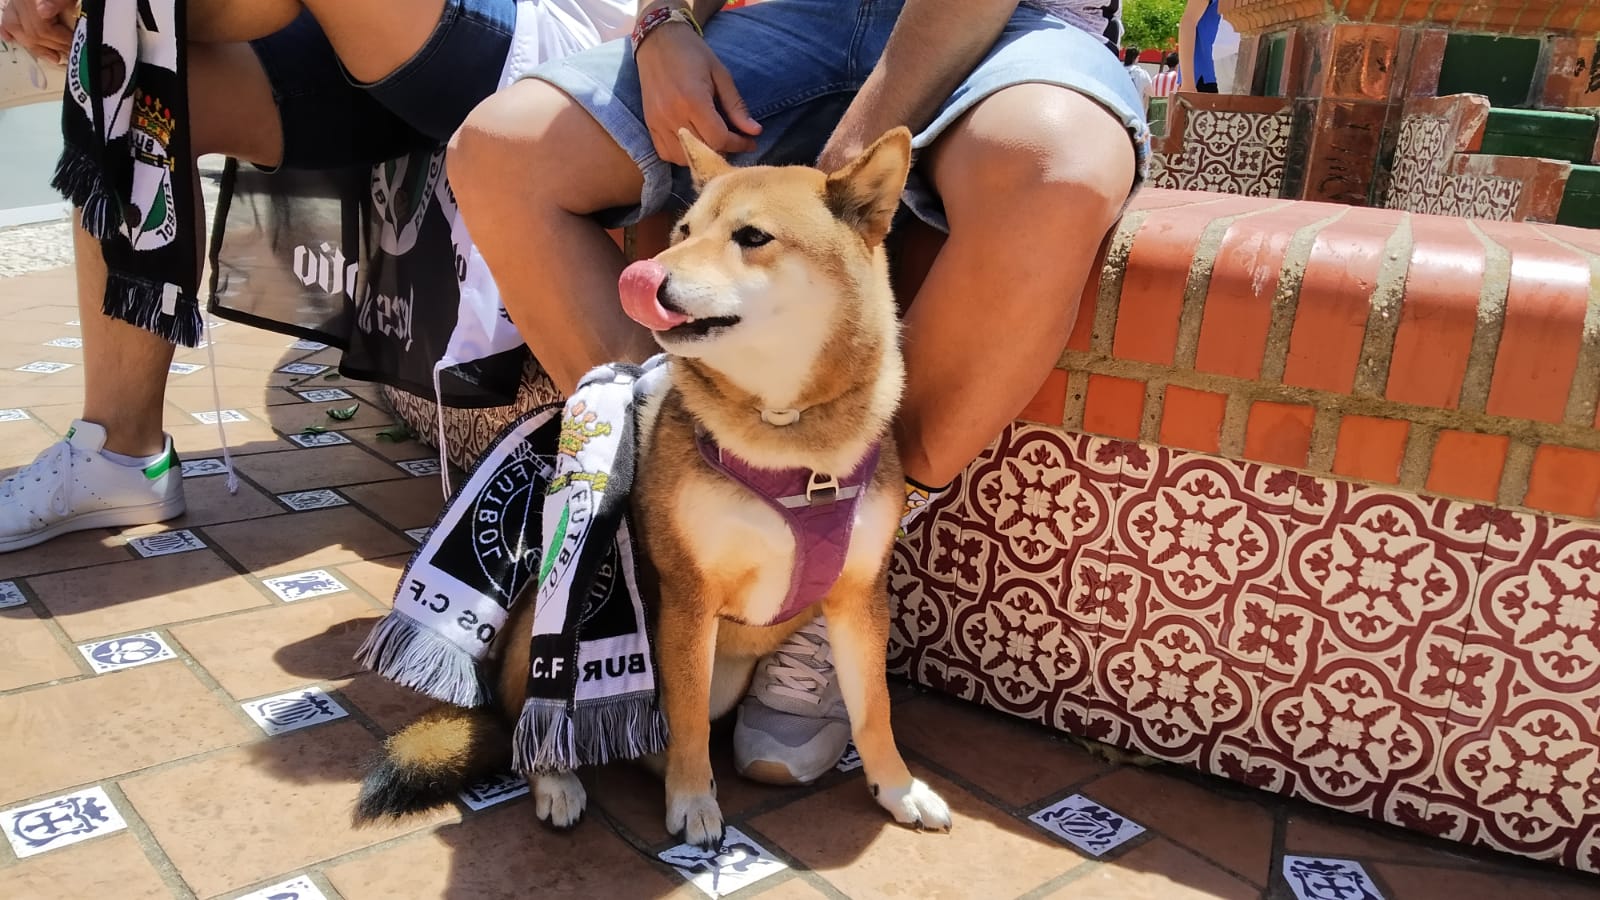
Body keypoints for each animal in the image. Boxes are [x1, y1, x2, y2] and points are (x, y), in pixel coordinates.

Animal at [356, 128, 947, 845]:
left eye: (752, 236)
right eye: (685, 230)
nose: (642, 277)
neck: (788, 439)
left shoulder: (858, 597)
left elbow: (874, 710)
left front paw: (898, 788)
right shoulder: (691, 596)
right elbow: (687, 717)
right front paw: (692, 802)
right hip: (554, 622)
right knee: (535, 726)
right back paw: (561, 779)